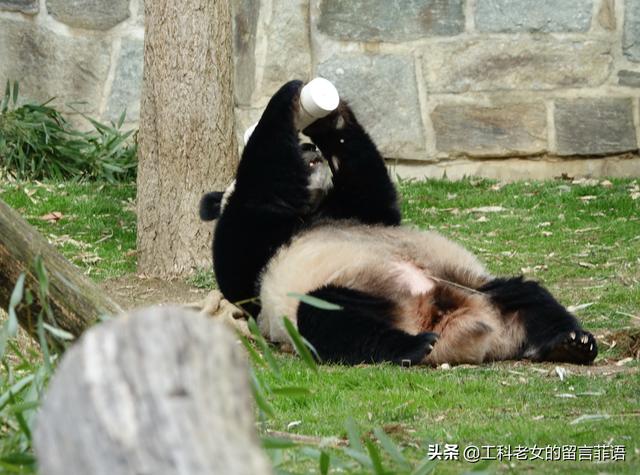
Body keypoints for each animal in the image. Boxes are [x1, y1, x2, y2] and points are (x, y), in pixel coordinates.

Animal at [200, 80, 600, 366]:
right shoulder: (251, 252)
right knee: (330, 318)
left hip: (477, 286)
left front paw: (329, 118)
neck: (310, 210)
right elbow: (257, 192)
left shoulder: (358, 210)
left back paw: (570, 343)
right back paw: (412, 348)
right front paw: (288, 97)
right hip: (328, 294)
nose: (308, 148)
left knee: (530, 297)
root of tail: (447, 321)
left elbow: (370, 184)